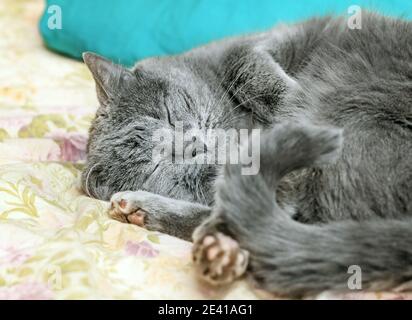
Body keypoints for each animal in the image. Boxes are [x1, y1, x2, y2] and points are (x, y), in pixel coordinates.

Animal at [81, 12, 412, 298]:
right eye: (155, 166)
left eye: (167, 115)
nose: (191, 145)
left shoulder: (264, 40)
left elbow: (242, 61)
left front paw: (288, 99)